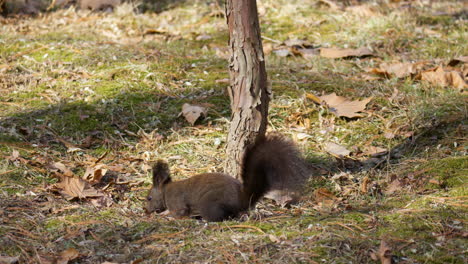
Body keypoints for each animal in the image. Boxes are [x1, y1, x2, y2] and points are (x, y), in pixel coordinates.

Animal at [144, 133, 308, 222]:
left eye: (149, 198)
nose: (146, 211)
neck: (165, 191)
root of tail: (242, 199)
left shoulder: (177, 202)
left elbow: (179, 213)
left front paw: (165, 214)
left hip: (210, 204)